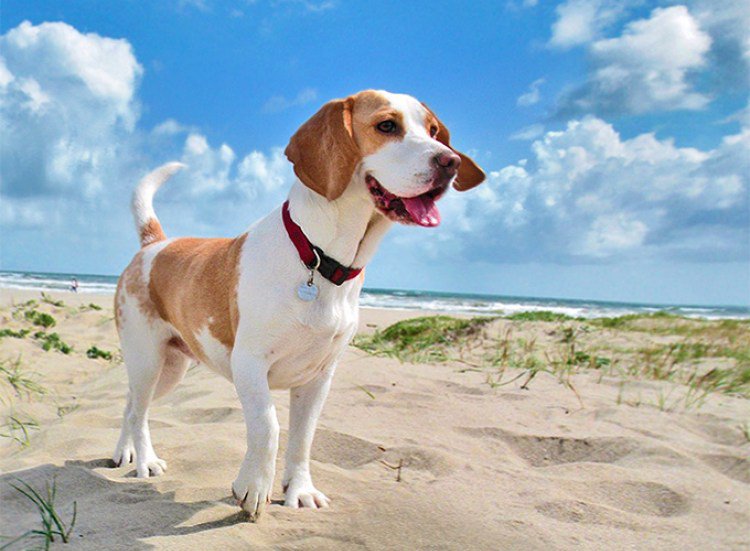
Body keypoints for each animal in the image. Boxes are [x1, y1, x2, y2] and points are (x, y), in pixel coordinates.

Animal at [112, 88, 488, 520]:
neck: (319, 258)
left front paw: (299, 490)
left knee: (129, 403)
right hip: (148, 359)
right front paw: (253, 488)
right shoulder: (249, 364)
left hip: (169, 370)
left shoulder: (319, 377)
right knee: (139, 412)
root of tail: (154, 243)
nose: (450, 162)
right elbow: (269, 427)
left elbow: (303, 437)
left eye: (433, 131)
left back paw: (123, 453)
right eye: (386, 125)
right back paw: (145, 460)